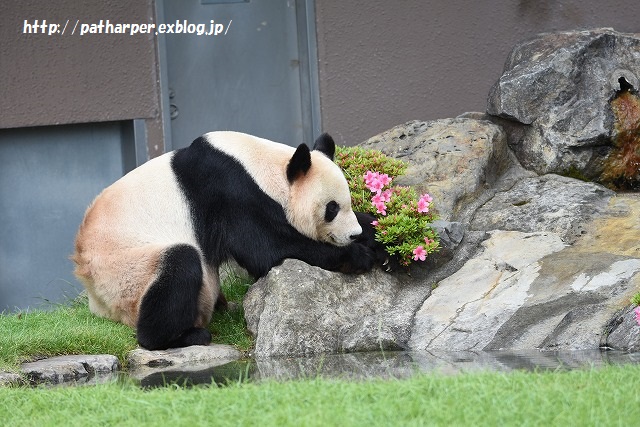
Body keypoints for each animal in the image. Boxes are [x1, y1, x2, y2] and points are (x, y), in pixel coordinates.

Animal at [72, 131, 380, 352]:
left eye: (347, 203)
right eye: (332, 208)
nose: (352, 234)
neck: (259, 164)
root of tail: (95, 298)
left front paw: (378, 240)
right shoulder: (229, 193)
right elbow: (266, 248)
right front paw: (358, 255)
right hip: (123, 269)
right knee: (179, 263)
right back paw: (181, 337)